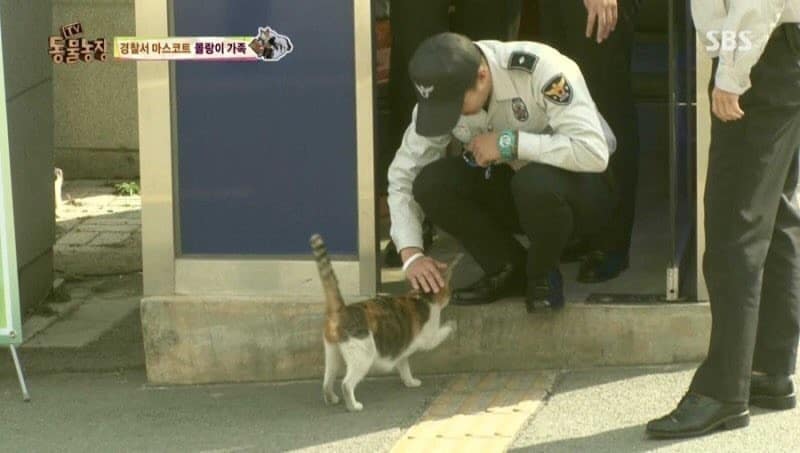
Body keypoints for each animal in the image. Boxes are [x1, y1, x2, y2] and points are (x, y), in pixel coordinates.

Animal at [310, 233, 462, 410]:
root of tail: (342, 309)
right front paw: (453, 325)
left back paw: (331, 399)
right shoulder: (430, 338)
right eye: (450, 290)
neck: (423, 296)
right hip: (363, 355)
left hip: (332, 353)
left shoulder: (403, 350)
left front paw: (410, 382)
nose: (452, 294)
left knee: (327, 381)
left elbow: (404, 367)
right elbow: (445, 328)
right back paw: (354, 406)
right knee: (346, 384)